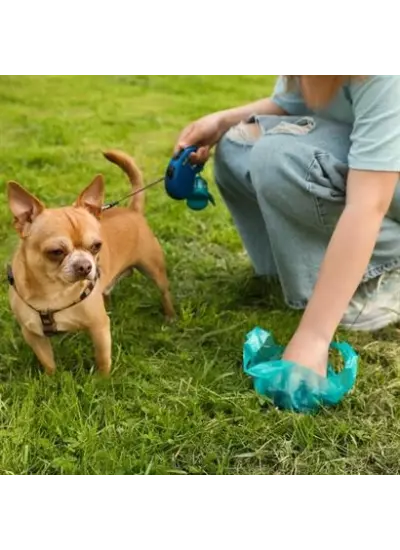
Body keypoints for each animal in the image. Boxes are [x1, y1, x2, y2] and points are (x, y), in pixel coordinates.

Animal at [6, 149, 175, 378]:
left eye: (96, 246)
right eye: (56, 252)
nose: (85, 266)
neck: (53, 291)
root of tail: (132, 210)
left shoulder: (99, 328)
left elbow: (103, 358)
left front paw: (102, 380)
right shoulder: (33, 335)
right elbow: (48, 361)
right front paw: (52, 380)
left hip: (153, 270)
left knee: (164, 292)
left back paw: (170, 316)